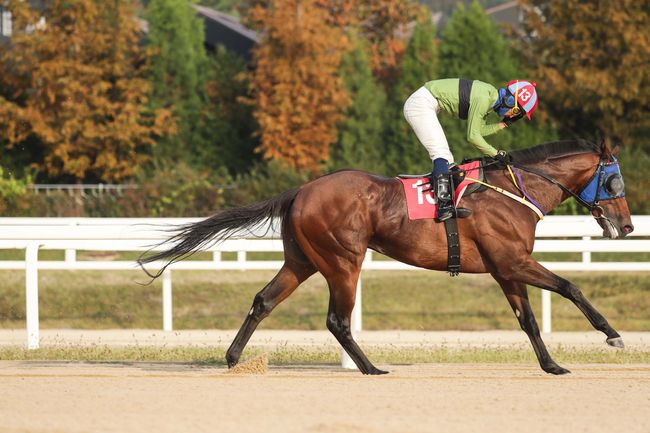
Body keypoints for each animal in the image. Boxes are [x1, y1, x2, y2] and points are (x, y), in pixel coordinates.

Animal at [139, 139, 632, 374]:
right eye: (613, 182)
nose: (627, 226)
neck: (512, 191)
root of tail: (301, 189)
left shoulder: (505, 269)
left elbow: (528, 320)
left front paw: (552, 365)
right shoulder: (513, 263)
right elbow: (571, 286)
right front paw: (612, 335)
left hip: (302, 260)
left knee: (263, 300)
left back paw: (233, 357)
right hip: (343, 260)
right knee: (337, 320)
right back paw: (371, 368)